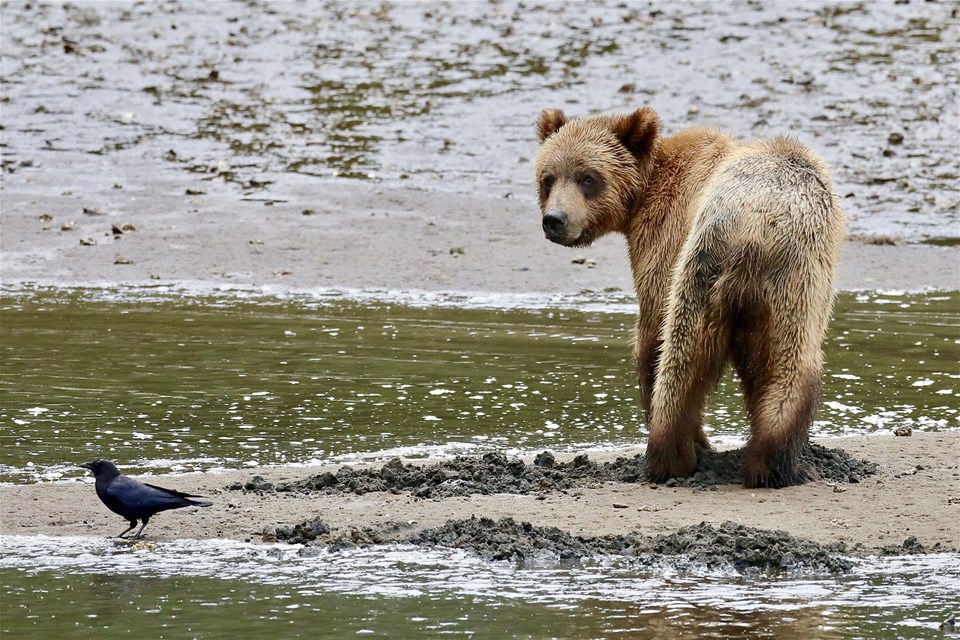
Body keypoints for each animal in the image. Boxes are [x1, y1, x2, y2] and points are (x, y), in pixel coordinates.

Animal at [536, 109, 844, 490]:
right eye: (548, 178)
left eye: (588, 178)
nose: (555, 220)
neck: (645, 193)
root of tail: (754, 227)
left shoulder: (663, 239)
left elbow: (652, 331)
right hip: (780, 280)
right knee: (774, 364)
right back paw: (763, 464)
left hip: (723, 267)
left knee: (688, 356)